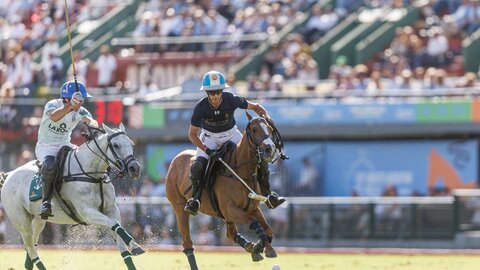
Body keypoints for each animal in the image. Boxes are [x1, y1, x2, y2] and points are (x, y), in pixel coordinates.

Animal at [0, 123, 143, 270]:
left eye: (132, 144)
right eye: (115, 145)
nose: (135, 168)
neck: (91, 175)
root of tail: (9, 176)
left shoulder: (112, 209)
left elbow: (119, 235)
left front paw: (134, 246)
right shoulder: (87, 212)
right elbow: (114, 224)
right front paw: (134, 244)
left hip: (38, 219)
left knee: (31, 244)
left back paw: (28, 263)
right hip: (21, 221)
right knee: (30, 247)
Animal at [167, 111, 284, 268]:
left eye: (270, 129)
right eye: (254, 129)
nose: (269, 149)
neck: (241, 171)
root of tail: (175, 159)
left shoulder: (251, 208)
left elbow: (268, 230)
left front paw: (260, 248)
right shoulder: (230, 209)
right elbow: (254, 222)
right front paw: (262, 248)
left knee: (231, 233)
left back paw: (250, 246)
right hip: (179, 208)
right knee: (187, 243)